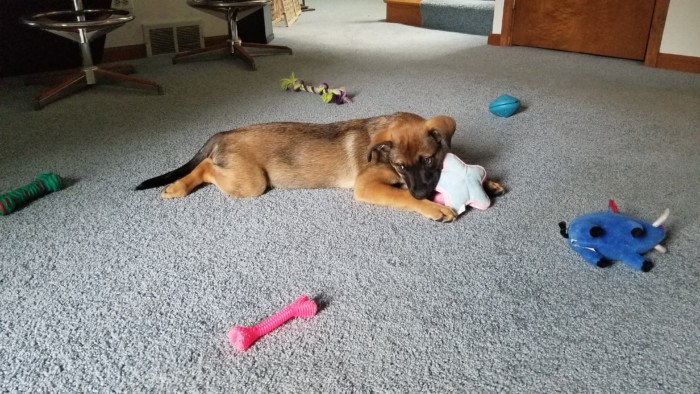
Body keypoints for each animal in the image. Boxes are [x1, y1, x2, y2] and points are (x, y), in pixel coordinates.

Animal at [135, 111, 504, 222]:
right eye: (400, 165)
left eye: (428, 159)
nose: (424, 192)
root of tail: (227, 132)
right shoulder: (366, 186)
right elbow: (401, 197)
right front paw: (432, 207)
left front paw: (490, 183)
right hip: (251, 182)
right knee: (207, 168)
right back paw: (177, 187)